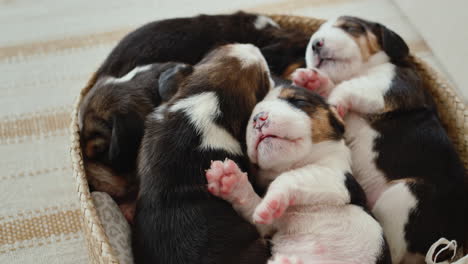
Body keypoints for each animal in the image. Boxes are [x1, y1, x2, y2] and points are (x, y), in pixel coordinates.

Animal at [206, 84, 392, 264]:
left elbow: (289, 178)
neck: (294, 164)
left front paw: (271, 196)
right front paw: (231, 181)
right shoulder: (272, 224)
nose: (259, 118)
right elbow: (255, 208)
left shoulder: (335, 177)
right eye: (250, 117)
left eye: (298, 101)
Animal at [290, 16, 466, 264]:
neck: (365, 68)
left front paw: (333, 96)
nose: (316, 44)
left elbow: (348, 86)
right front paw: (312, 79)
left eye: (350, 28)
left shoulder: (391, 85)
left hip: (405, 194)